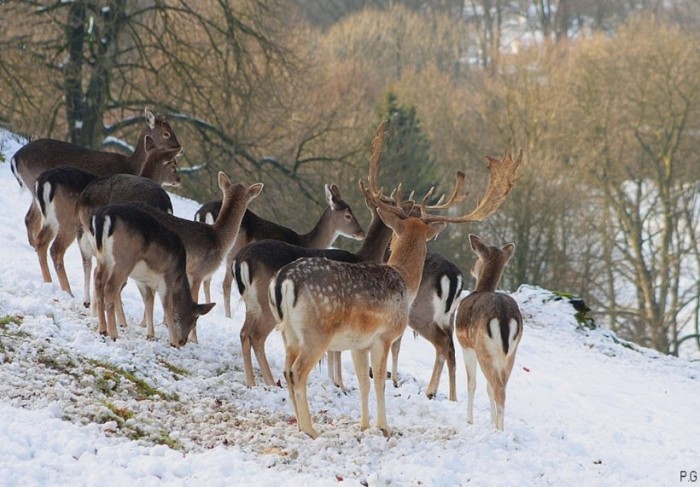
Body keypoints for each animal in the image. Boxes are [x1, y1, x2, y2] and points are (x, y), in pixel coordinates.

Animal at [91, 203, 216, 346]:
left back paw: (103, 329)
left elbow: (149, 301)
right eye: (195, 320)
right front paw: (173, 342)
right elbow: (168, 307)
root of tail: (104, 215)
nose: (183, 341)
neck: (179, 278)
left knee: (98, 280)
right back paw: (114, 335)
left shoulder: (144, 281)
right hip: (123, 260)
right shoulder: (167, 279)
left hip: (102, 257)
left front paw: (150, 335)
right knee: (110, 288)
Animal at [193, 184, 364, 316]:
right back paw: (228, 316)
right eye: (348, 215)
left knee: (207, 279)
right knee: (224, 283)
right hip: (231, 250)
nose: (362, 233)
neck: (306, 242)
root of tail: (202, 213)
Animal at [456, 234, 524, 432]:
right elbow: (487, 388)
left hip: (483, 348)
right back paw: (499, 427)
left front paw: (469, 420)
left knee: (498, 389)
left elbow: (472, 383)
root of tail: (504, 316)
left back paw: (500, 431)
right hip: (511, 353)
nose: (472, 269)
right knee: (500, 387)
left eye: (477, 258)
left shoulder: (466, 346)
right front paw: (491, 422)